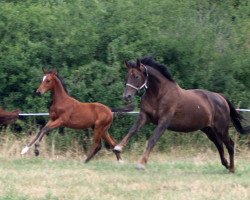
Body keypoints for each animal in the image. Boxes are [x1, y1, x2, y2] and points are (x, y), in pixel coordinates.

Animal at [114, 57, 250, 173]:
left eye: (136, 76)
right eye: (127, 77)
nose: (127, 96)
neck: (159, 94)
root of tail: (221, 98)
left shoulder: (164, 122)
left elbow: (152, 140)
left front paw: (141, 164)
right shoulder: (144, 116)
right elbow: (132, 130)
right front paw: (118, 148)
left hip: (221, 128)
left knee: (230, 145)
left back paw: (232, 168)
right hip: (208, 129)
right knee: (219, 144)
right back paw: (226, 164)